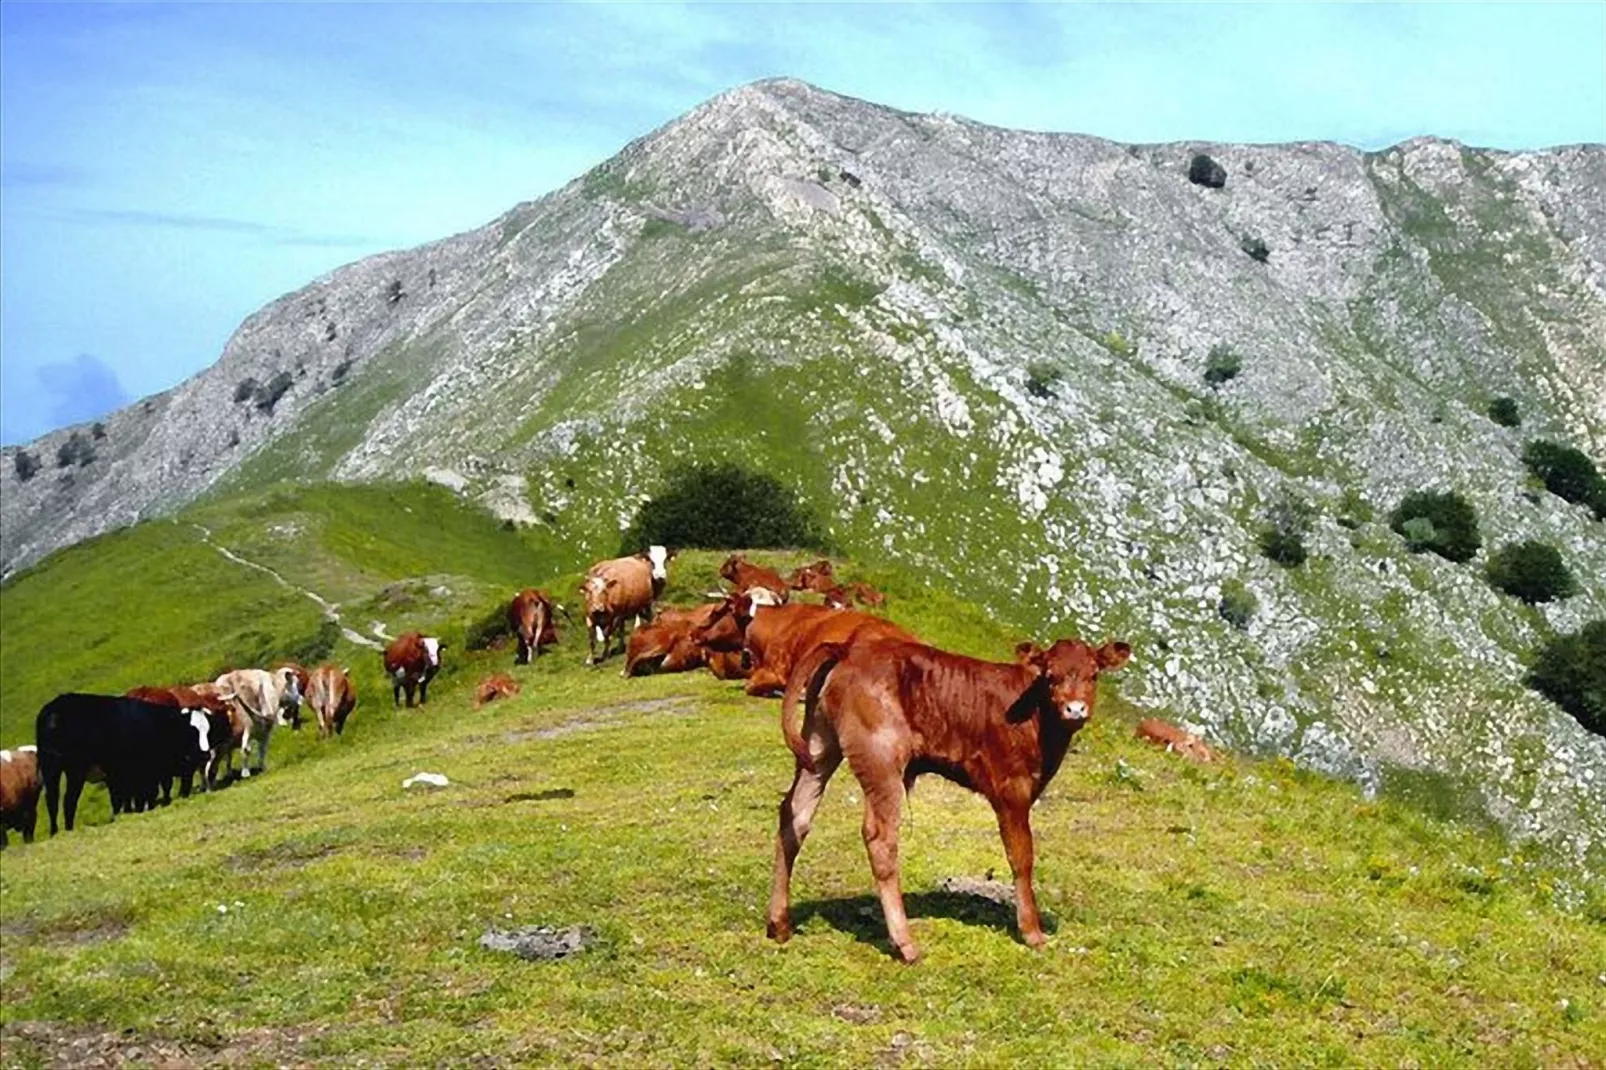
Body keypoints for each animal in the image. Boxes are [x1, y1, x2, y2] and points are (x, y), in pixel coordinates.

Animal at [36, 690, 215, 835]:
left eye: (208, 729)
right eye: (192, 731)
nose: (205, 753)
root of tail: (54, 708)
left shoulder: (126, 774)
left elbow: (127, 796)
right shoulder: (140, 771)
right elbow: (142, 793)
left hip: (49, 766)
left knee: (52, 799)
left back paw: (54, 831)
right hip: (75, 770)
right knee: (69, 799)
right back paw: (68, 829)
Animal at [767, 629, 1130, 963]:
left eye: (1094, 674)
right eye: (1051, 676)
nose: (1075, 709)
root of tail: (849, 647)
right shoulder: (1012, 789)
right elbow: (1022, 857)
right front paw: (1032, 932)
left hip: (819, 744)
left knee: (795, 814)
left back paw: (778, 924)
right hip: (881, 755)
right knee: (880, 836)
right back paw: (906, 944)